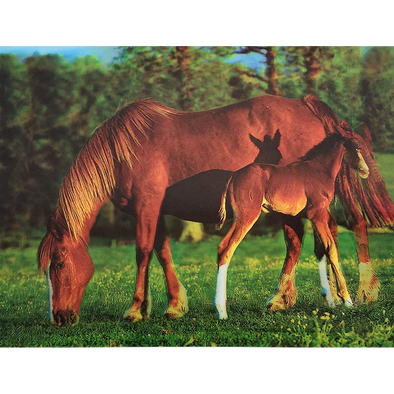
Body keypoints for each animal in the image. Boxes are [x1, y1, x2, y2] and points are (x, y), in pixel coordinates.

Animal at [212, 124, 370, 318]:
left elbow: (320, 249)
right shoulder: (316, 214)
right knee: (226, 248)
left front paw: (331, 300)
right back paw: (221, 310)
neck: (320, 170)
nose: (366, 170)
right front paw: (347, 300)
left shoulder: (310, 217)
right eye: (357, 147)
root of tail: (233, 177)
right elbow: (330, 248)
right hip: (246, 216)